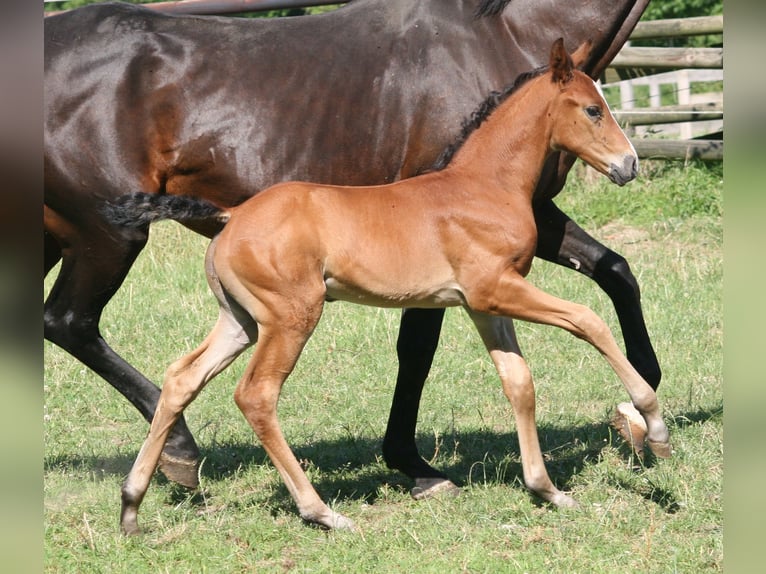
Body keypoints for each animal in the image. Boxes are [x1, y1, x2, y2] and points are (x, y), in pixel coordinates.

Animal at [42, 0, 656, 498]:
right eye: (593, 109)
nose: (630, 165)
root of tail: (233, 217)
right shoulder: (483, 278)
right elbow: (433, 346)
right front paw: (646, 412)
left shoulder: (503, 266)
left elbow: (604, 284)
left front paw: (629, 421)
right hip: (116, 240)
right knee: (76, 323)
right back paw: (199, 459)